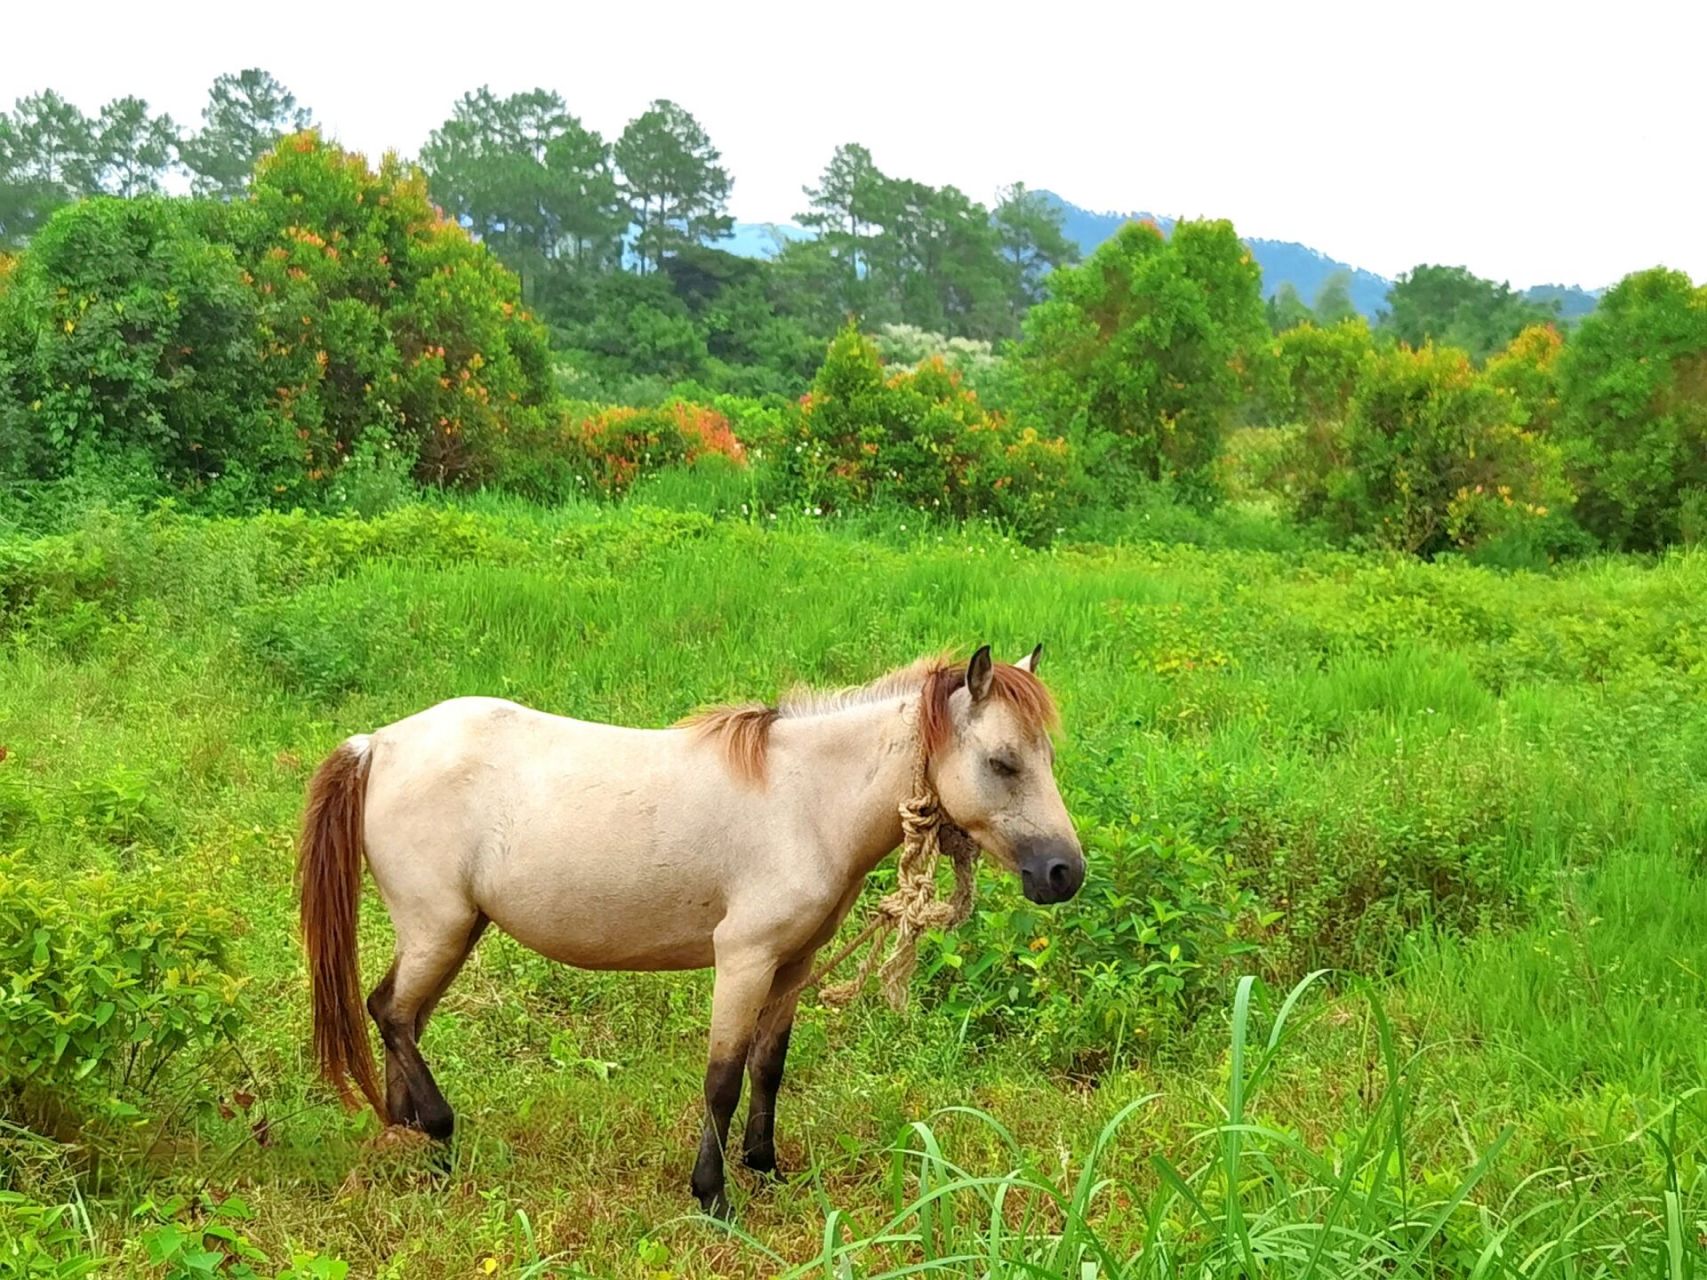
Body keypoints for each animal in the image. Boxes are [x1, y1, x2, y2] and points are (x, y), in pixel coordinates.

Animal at [293, 645, 1078, 1215]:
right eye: (1002, 762)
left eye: (1045, 757)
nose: (1065, 872)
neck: (804, 800)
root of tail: (377, 744)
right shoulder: (744, 960)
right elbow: (722, 1079)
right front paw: (713, 1196)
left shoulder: (793, 963)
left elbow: (768, 1066)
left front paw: (766, 1169)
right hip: (440, 928)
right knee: (390, 1013)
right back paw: (439, 1132)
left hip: (452, 933)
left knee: (405, 1020)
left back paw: (407, 1145)